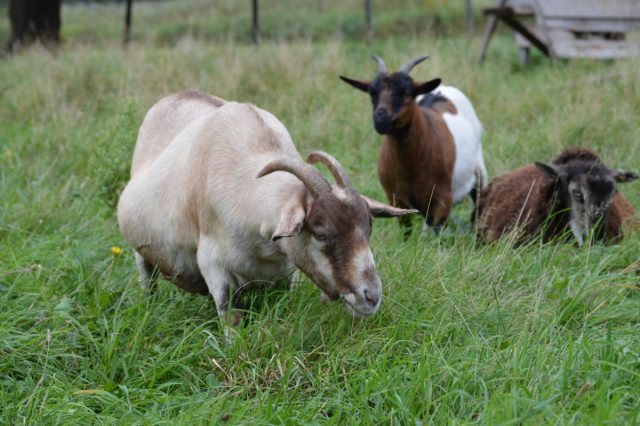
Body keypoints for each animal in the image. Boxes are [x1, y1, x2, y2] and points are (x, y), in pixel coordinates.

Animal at [115, 90, 418, 326]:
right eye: (320, 233)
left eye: (369, 228)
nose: (371, 297)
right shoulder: (215, 269)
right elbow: (231, 319)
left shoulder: (283, 274)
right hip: (142, 255)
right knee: (147, 279)